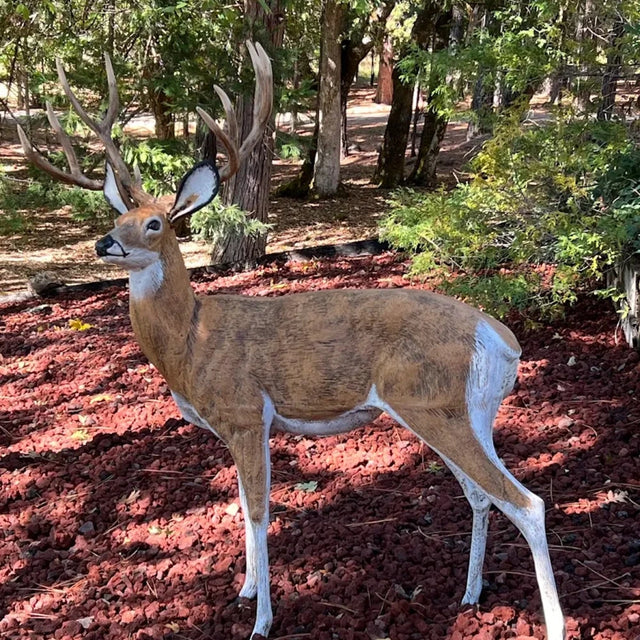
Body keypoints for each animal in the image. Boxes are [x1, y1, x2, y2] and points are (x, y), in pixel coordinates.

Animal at [19, 44, 565, 640]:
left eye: (156, 224)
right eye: (118, 216)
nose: (104, 244)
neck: (192, 341)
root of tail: (501, 338)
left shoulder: (244, 411)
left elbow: (259, 511)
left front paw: (261, 620)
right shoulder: (236, 427)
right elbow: (239, 501)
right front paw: (245, 589)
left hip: (433, 404)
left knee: (526, 502)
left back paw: (552, 623)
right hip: (468, 412)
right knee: (481, 495)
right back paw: (469, 594)